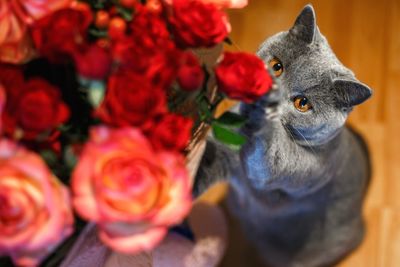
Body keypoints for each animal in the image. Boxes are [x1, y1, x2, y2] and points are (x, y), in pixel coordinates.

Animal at [195, 4, 374, 267]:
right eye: (277, 66)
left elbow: (271, 157)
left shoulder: (303, 167)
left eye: (303, 103)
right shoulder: (226, 146)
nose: (268, 88)